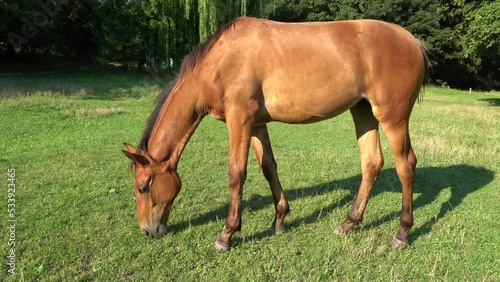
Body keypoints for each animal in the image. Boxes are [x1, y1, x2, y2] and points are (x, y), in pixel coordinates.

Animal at [122, 17, 430, 251]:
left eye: (143, 187)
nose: (148, 230)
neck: (220, 59)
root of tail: (413, 41)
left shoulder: (239, 119)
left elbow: (236, 173)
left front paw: (227, 234)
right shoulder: (256, 124)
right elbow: (268, 167)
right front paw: (280, 220)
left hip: (392, 118)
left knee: (406, 166)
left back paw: (402, 233)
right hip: (363, 111)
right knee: (372, 163)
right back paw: (348, 223)